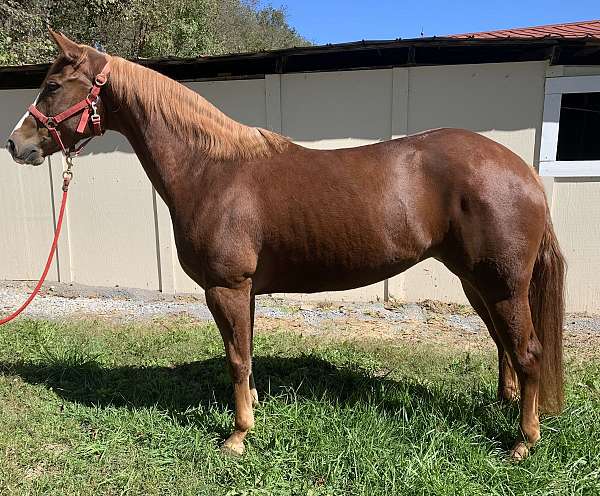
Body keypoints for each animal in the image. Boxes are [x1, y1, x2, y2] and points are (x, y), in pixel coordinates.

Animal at [7, 31, 564, 460]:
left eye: (52, 85)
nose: (16, 144)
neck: (211, 171)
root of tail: (522, 172)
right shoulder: (245, 291)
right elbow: (246, 354)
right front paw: (252, 411)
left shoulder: (226, 287)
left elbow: (235, 358)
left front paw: (237, 436)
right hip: (477, 282)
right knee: (504, 346)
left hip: (502, 285)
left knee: (528, 351)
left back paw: (523, 441)